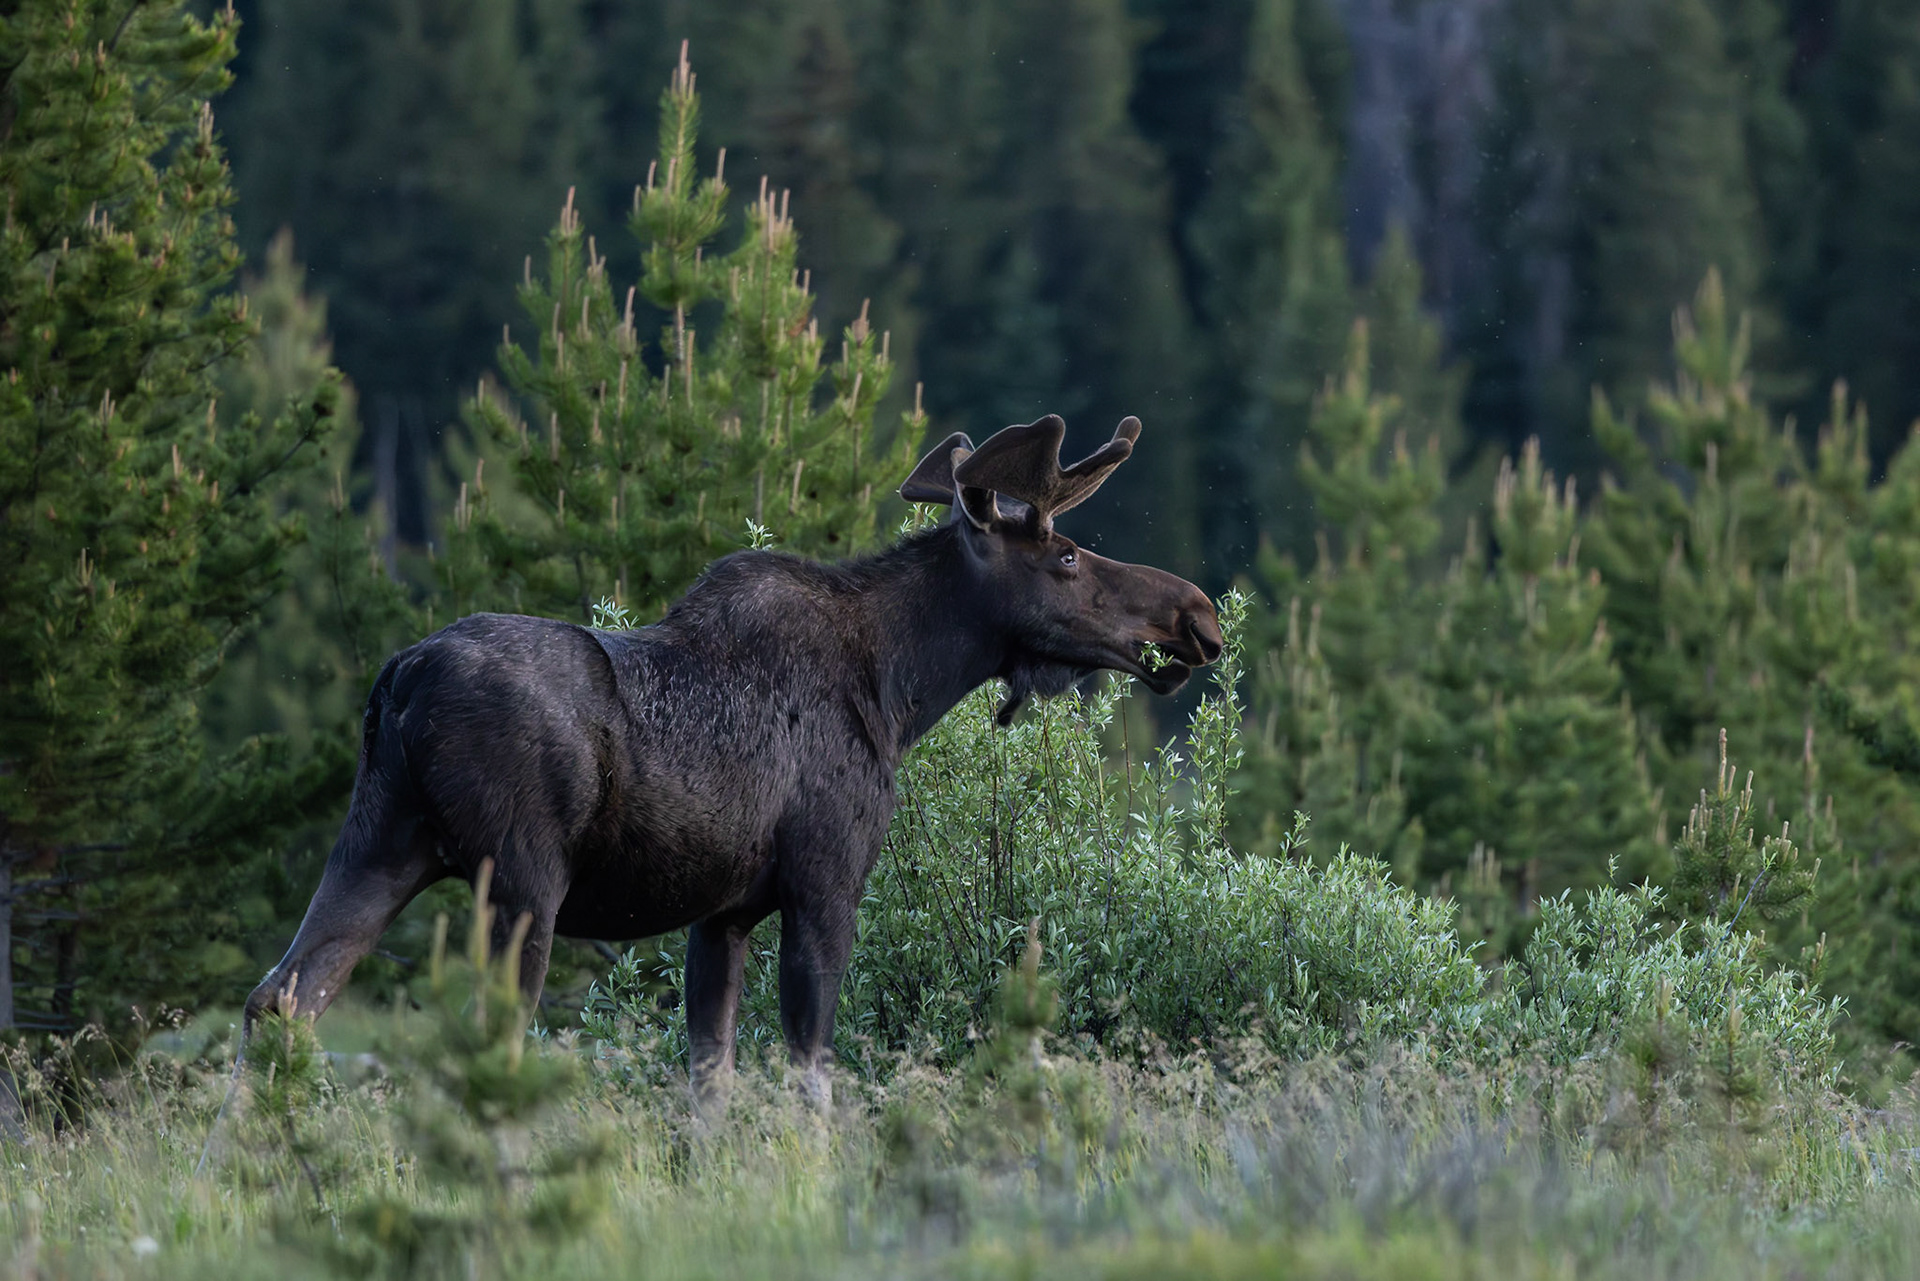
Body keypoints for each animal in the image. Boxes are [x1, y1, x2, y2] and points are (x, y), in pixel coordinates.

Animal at [244, 413, 1221, 1104]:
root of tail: (396, 683)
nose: (1197, 613)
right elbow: (810, 1071)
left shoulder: (721, 911)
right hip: (518, 875)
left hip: (380, 838)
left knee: (281, 997)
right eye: (1066, 554)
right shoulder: (825, 878)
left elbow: (710, 1077)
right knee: (490, 1034)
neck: (900, 688)